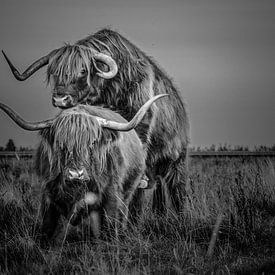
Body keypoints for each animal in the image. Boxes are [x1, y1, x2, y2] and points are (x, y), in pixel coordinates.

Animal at [0, 94, 168, 244]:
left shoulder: (112, 195)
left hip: (126, 194)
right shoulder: (48, 195)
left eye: (92, 143)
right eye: (60, 143)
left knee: (120, 218)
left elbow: (110, 227)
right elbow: (48, 229)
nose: (76, 174)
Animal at [2, 28, 191, 213]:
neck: (110, 89)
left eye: (83, 70)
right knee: (159, 189)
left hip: (177, 161)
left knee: (177, 190)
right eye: (54, 72)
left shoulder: (140, 118)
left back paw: (180, 215)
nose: (60, 99)